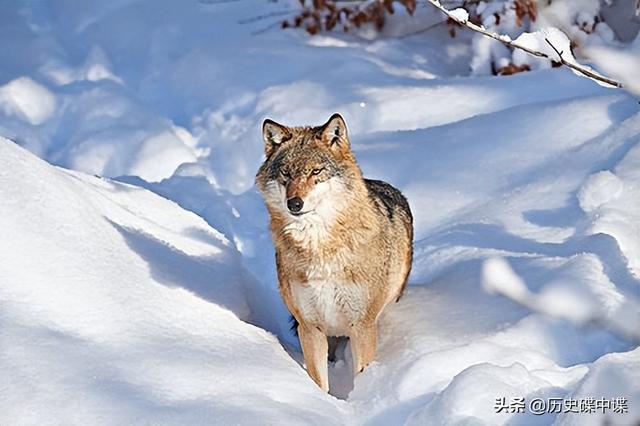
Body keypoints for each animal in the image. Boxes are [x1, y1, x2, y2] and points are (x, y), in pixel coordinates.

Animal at [256, 113, 416, 392]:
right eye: (286, 173)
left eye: (315, 171)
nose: (294, 203)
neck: (320, 250)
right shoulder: (310, 327)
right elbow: (319, 381)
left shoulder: (362, 326)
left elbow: (361, 372)